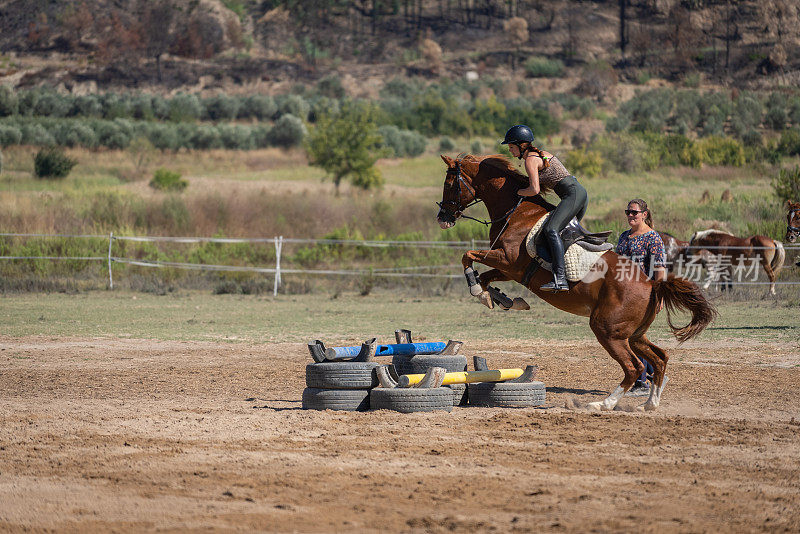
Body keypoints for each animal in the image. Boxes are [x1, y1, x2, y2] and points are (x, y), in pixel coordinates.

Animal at [438, 155, 720, 414]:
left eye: (450, 183)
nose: (442, 218)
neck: (517, 212)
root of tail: (652, 285)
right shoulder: (511, 270)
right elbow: (486, 276)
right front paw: (499, 298)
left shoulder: (508, 260)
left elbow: (468, 257)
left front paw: (480, 291)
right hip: (634, 334)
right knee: (659, 359)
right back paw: (649, 403)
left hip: (607, 329)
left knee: (634, 367)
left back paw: (603, 404)